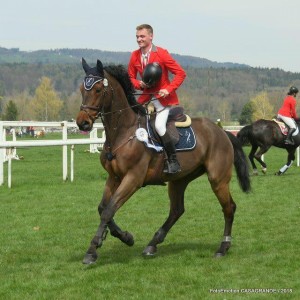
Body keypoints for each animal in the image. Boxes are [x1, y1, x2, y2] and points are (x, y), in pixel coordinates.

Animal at [75, 58, 251, 264]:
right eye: (82, 89)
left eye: (97, 90)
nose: (82, 123)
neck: (123, 132)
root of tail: (222, 132)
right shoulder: (114, 177)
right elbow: (103, 208)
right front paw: (125, 237)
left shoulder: (133, 179)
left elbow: (109, 210)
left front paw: (93, 250)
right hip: (179, 180)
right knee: (177, 210)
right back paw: (152, 244)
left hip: (218, 179)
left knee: (229, 208)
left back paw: (223, 247)